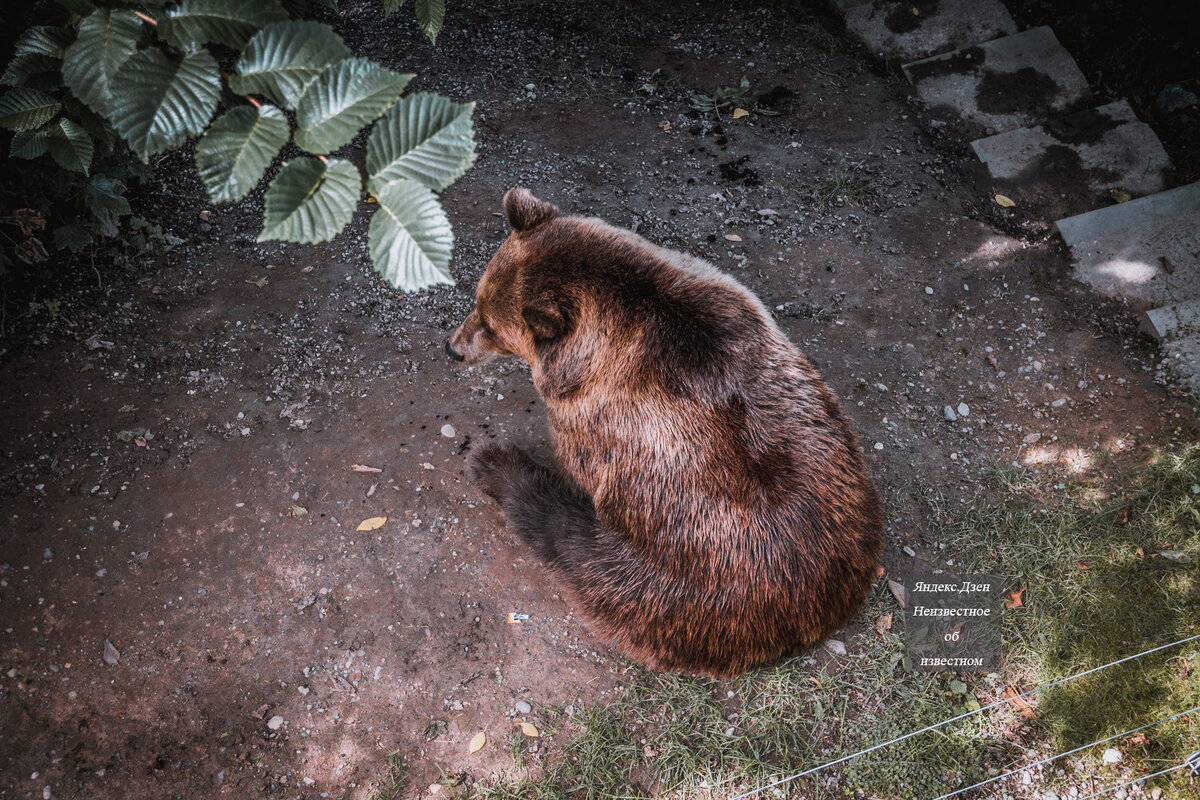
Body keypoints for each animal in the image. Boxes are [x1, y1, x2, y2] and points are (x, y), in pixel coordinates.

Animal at [448, 190, 883, 681]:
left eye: (491, 325)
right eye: (478, 300)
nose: (453, 347)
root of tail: (817, 605)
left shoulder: (597, 422)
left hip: (684, 587)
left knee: (574, 545)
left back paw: (494, 464)